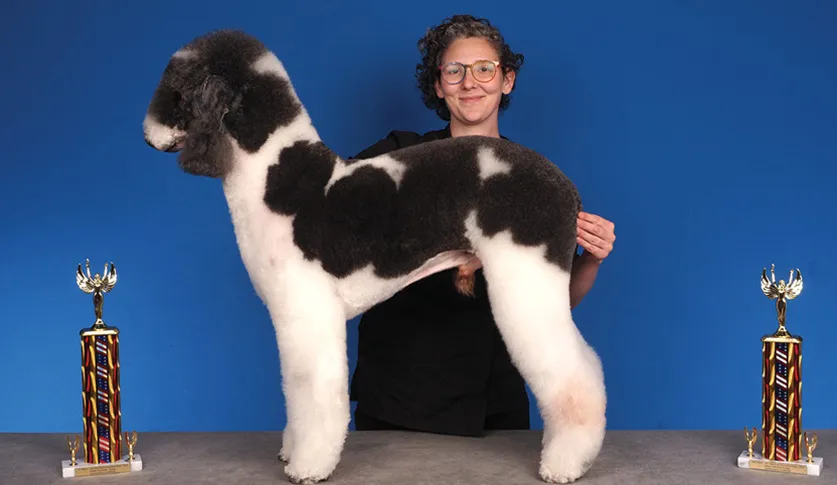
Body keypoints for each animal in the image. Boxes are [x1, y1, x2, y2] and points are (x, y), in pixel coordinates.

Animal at [142, 29, 600, 480]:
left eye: (176, 91)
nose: (146, 135)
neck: (275, 177)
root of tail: (567, 187)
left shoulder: (307, 312)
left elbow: (311, 392)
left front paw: (307, 466)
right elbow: (293, 391)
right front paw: (290, 452)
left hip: (528, 278)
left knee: (575, 377)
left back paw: (565, 463)